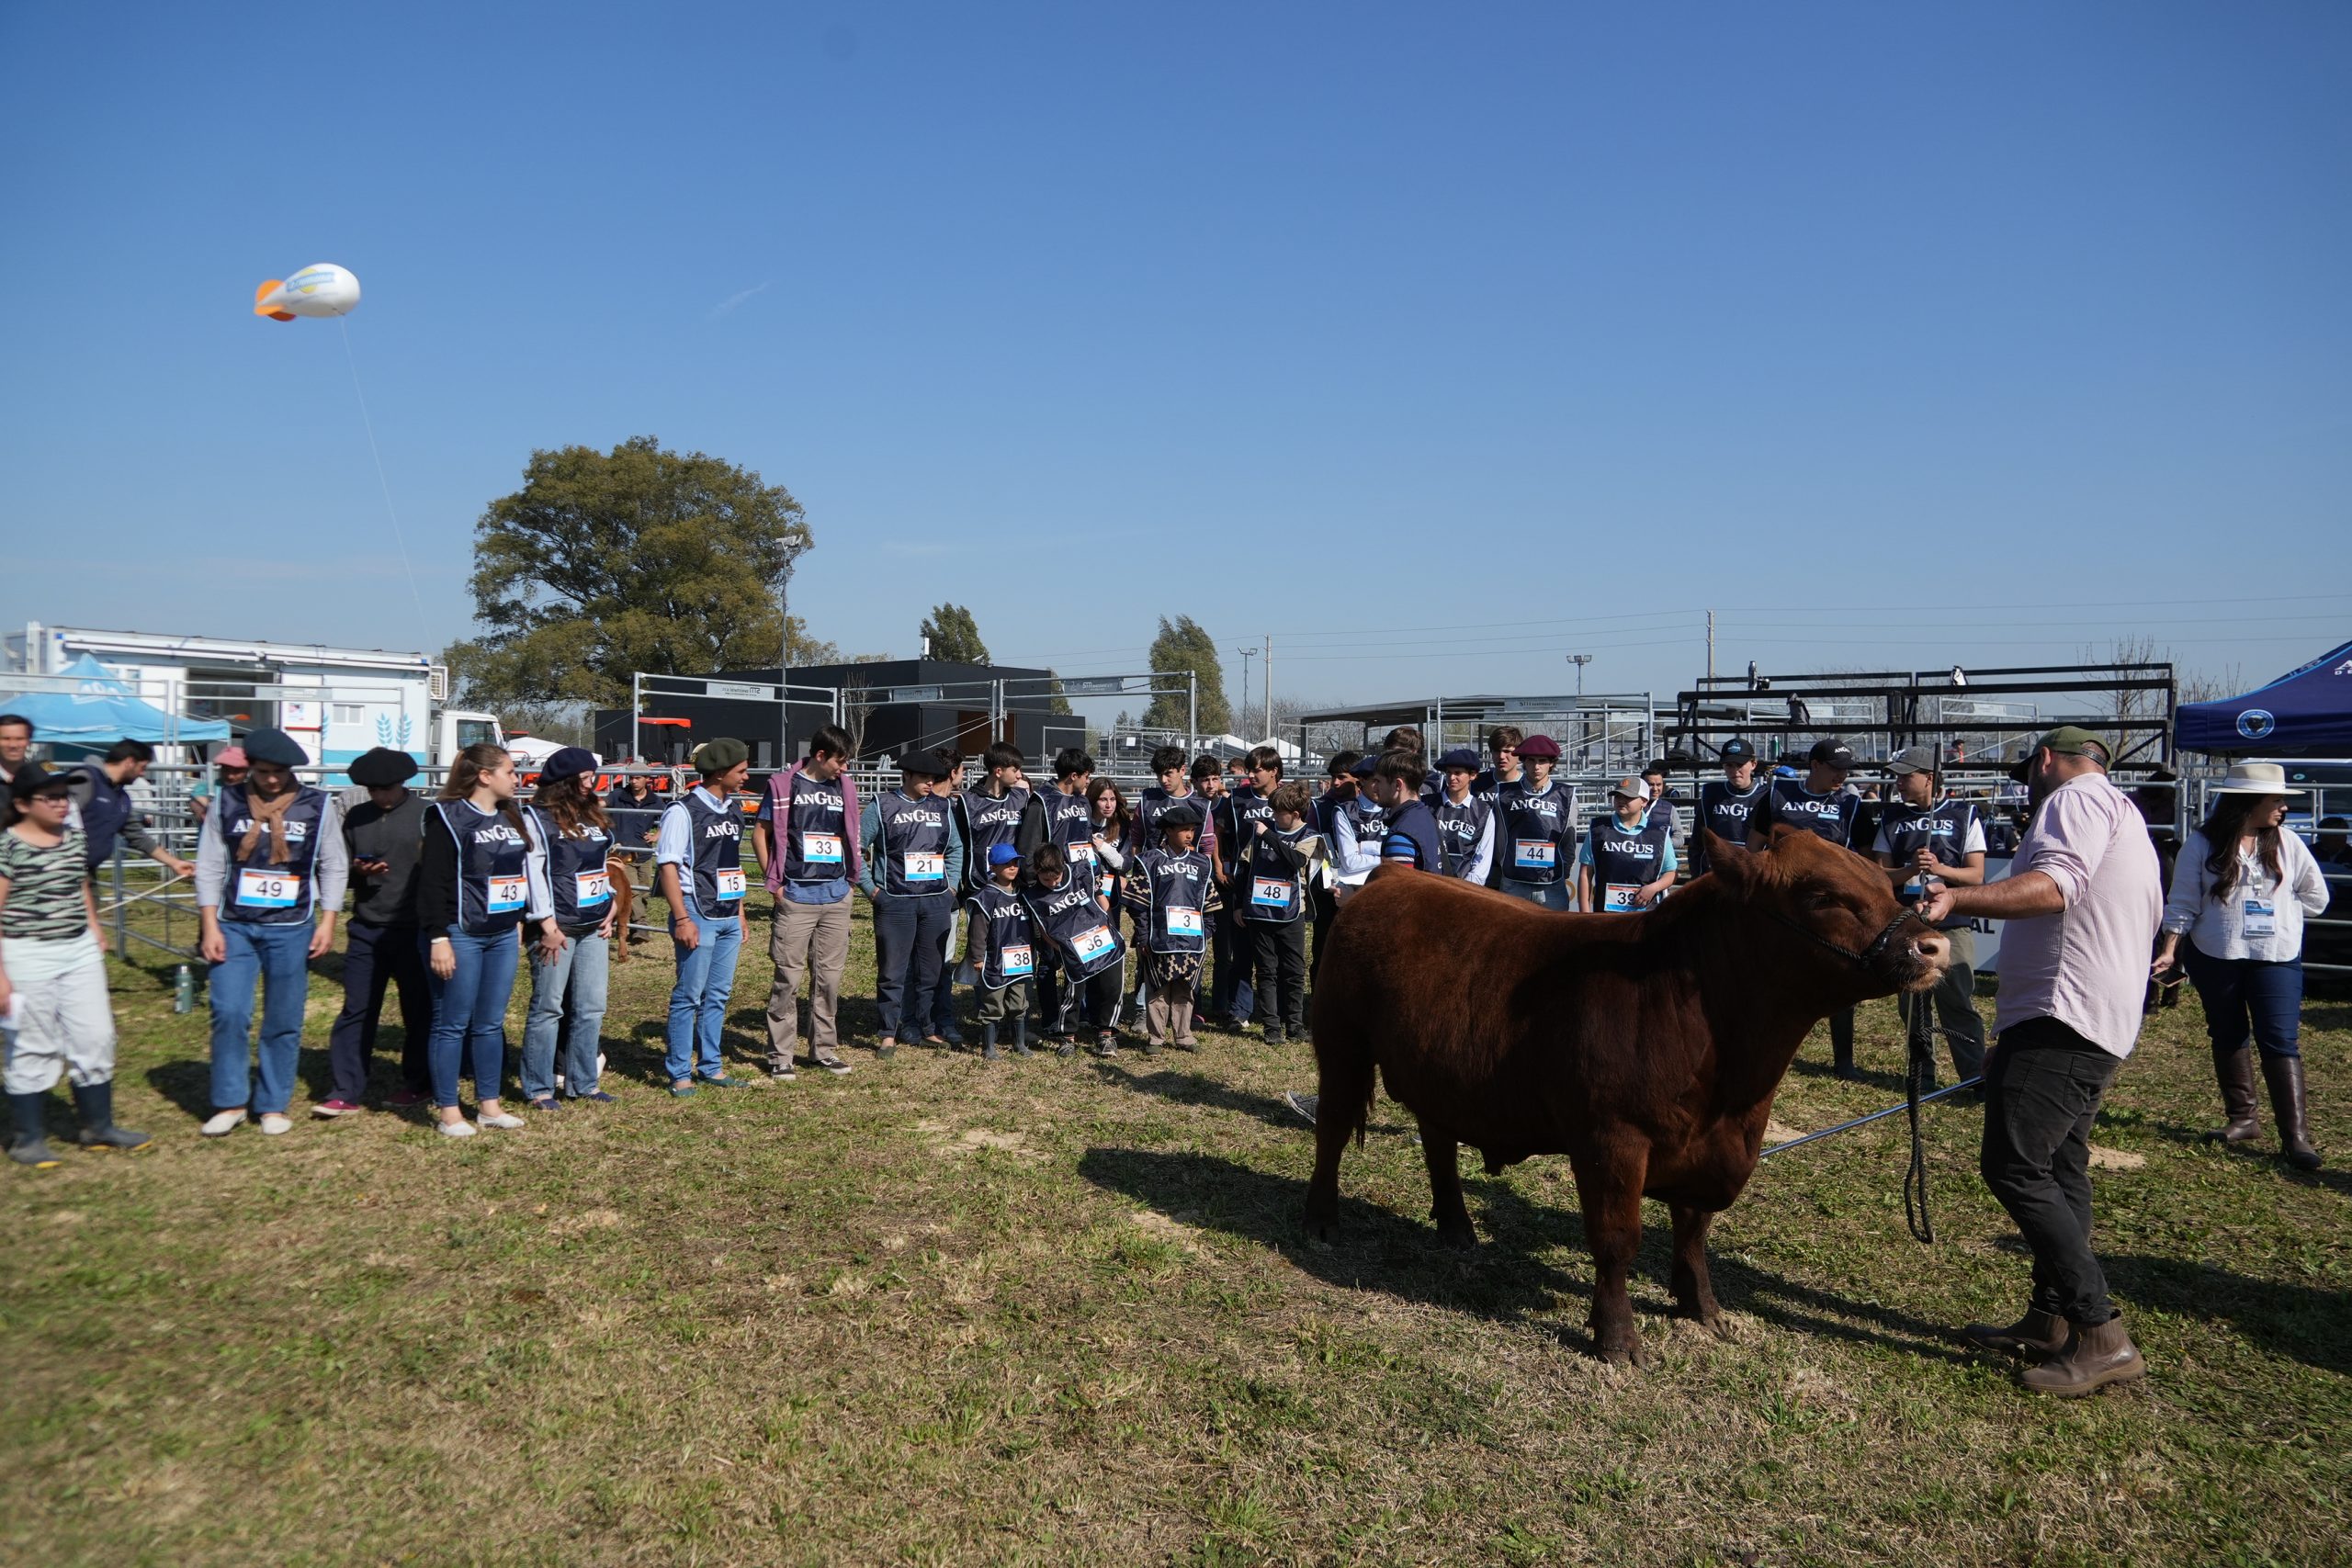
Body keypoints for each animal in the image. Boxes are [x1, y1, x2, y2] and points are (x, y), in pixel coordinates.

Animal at [1307, 831, 1947, 1363]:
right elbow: (1618, 1241)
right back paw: (1323, 1220)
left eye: (1885, 885)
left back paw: (1457, 1227)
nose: (1933, 945)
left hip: (1439, 1070)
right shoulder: (1610, 1140)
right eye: (1821, 895)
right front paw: (1617, 1339)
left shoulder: (1709, 1152)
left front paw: (1702, 1309)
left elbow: (1693, 1233)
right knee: (1332, 1129)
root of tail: (1393, 877)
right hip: (1340, 1044)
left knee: (1437, 1138)